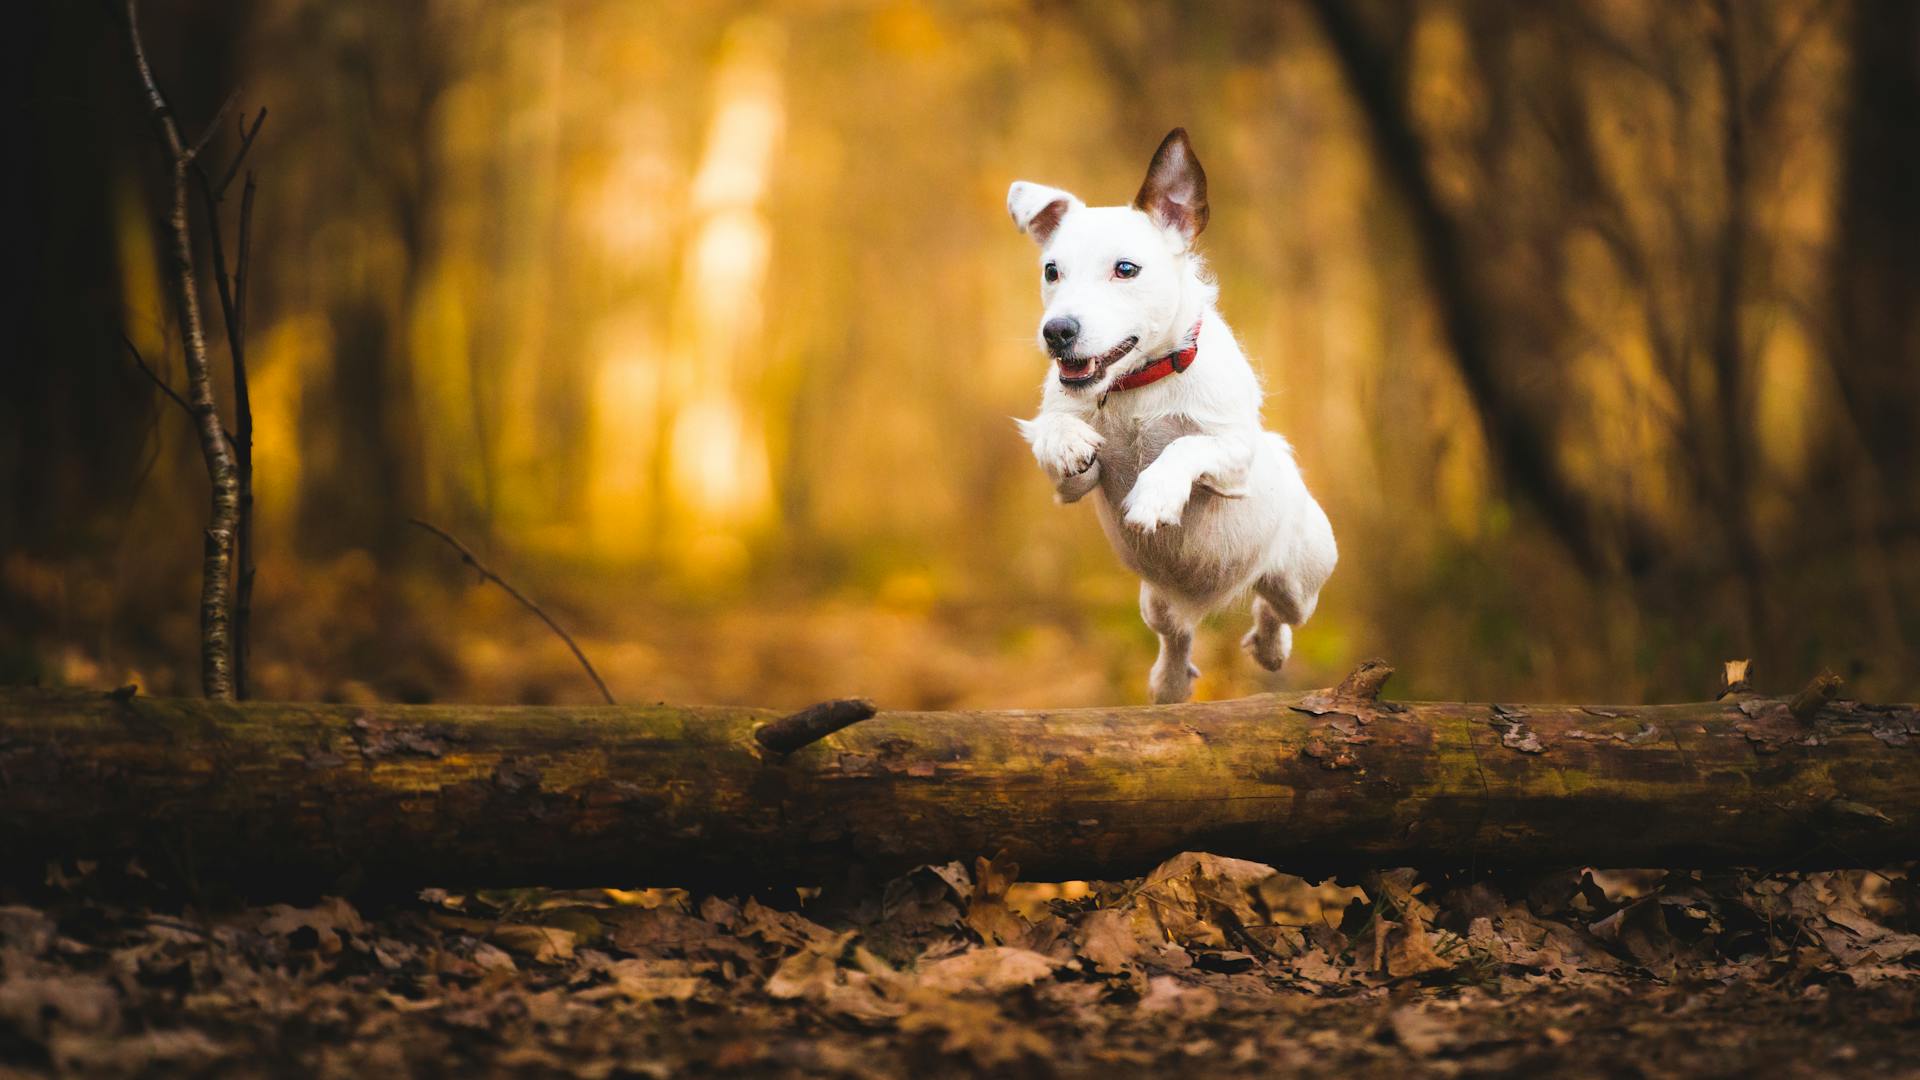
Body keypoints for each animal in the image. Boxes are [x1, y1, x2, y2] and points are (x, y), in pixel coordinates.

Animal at [1006, 125, 1336, 703]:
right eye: (1051, 271)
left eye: (1126, 269)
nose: (1057, 331)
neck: (1140, 385)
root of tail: (1208, 597)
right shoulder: (1071, 487)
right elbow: (1054, 432)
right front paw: (1066, 439)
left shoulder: (1235, 455)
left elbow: (1187, 444)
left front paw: (1155, 494)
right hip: (1155, 601)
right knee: (1176, 632)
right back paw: (1171, 681)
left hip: (1302, 575)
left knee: (1277, 608)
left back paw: (1271, 648)